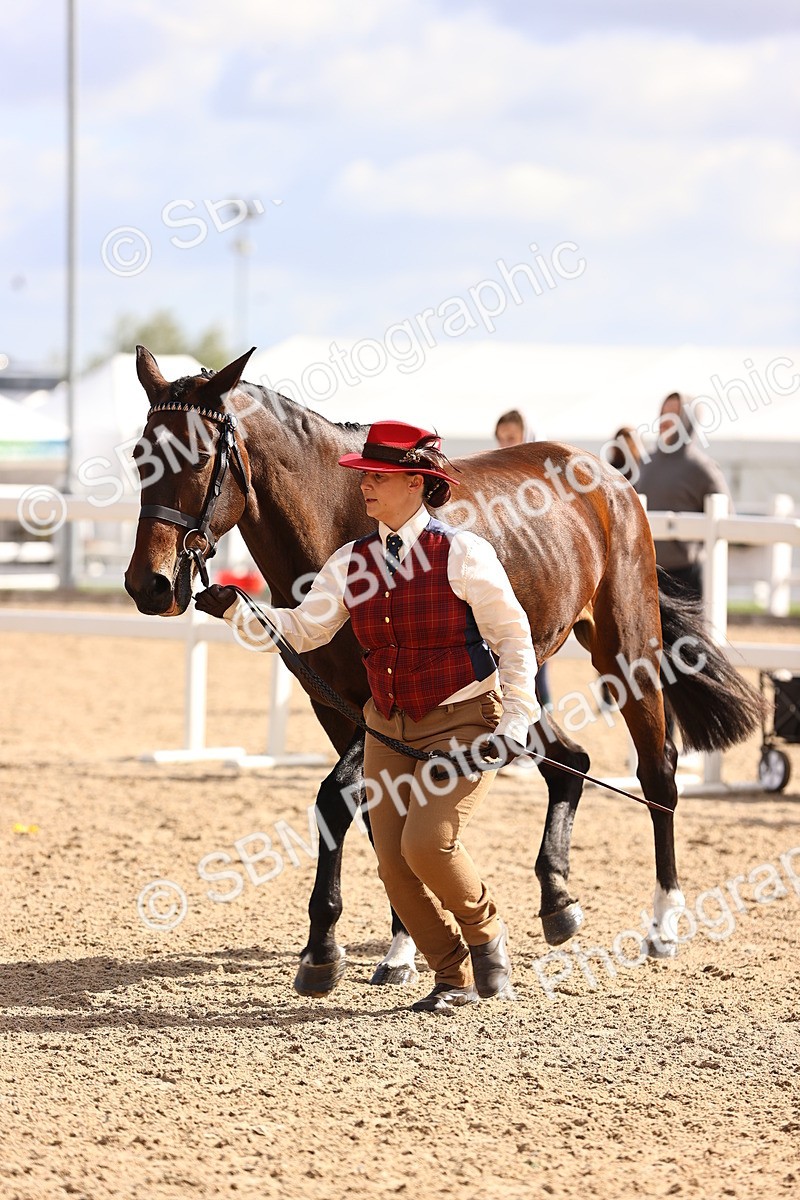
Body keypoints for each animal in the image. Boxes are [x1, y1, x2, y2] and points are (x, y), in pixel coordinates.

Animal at [124, 346, 763, 996]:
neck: (340, 517)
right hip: (516, 682)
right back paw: (557, 902)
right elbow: (380, 813)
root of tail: (608, 476)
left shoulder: (376, 705)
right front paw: (403, 948)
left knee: (658, 772)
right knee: (572, 763)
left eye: (201, 457)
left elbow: (338, 801)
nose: (149, 585)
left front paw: (323, 949)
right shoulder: (338, 706)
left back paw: (663, 922)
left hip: (625, 650)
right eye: (139, 456)